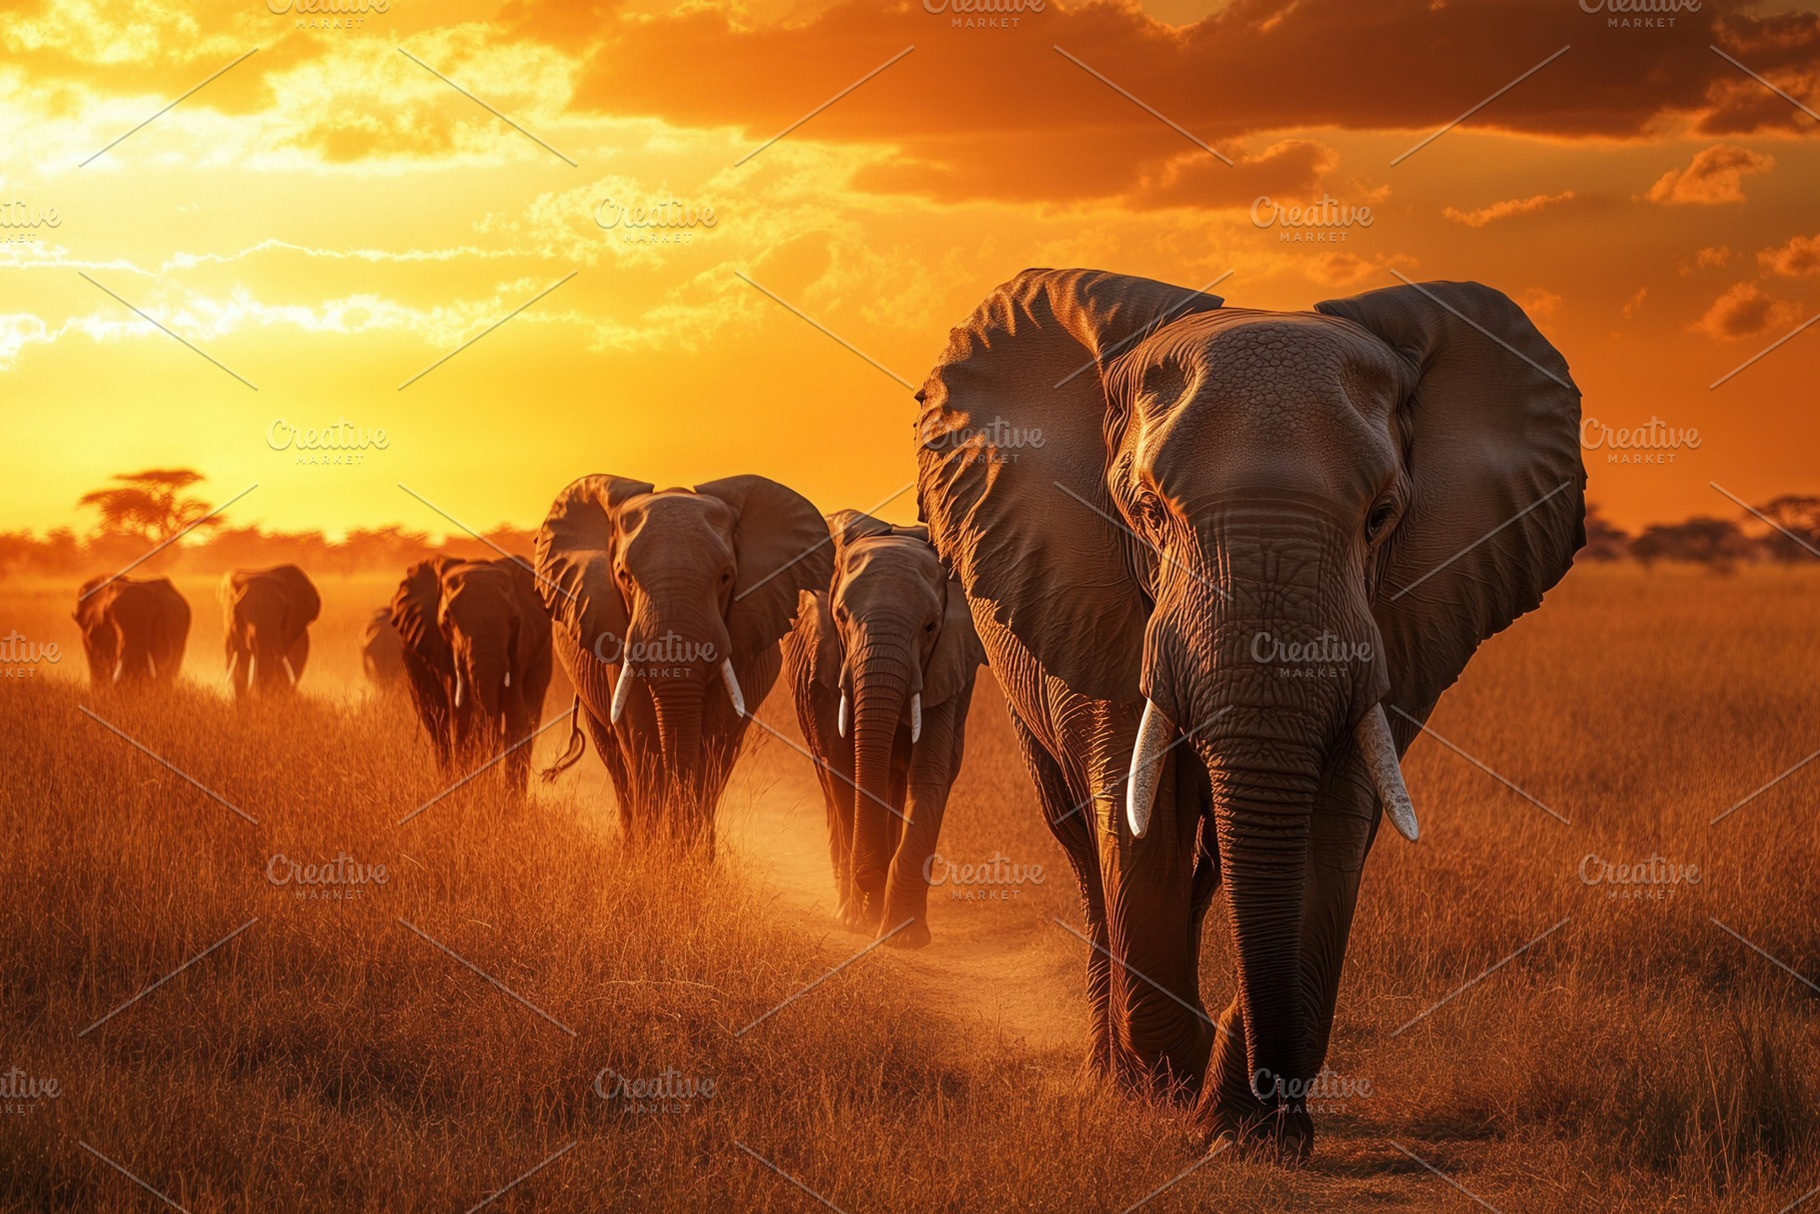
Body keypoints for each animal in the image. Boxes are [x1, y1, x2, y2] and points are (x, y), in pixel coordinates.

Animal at [390, 556, 554, 790]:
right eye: (447, 621)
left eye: (514, 620)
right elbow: (462, 719)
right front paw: (468, 792)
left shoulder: (521, 649)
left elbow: (518, 718)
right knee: (438, 728)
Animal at [536, 475, 831, 851]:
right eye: (624, 576)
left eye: (725, 577)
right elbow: (641, 734)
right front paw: (652, 856)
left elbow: (712, 737)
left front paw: (687, 856)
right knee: (615, 756)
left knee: (724, 752)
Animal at [782, 511, 985, 948]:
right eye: (841, 617)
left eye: (930, 627)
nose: (870, 879)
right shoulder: (826, 667)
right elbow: (845, 767)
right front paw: (862, 918)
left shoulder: (946, 670)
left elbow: (930, 774)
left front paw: (905, 935)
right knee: (830, 782)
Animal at [914, 269, 1584, 1158]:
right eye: (1149, 513)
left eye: (1380, 517)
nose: (1267, 1108)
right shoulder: (1095, 598)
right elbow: (1143, 825)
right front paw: (1171, 1099)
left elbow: (1331, 831)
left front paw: (1248, 1133)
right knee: (1087, 847)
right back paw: (1116, 1074)